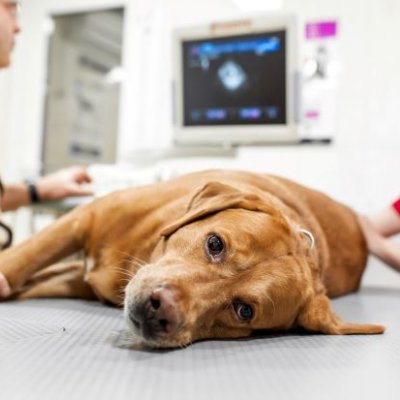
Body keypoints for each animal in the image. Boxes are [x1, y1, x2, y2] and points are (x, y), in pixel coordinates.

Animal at [0, 169, 384, 346]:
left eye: (244, 311)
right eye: (215, 244)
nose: (160, 309)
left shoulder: (78, 280)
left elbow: (28, 282)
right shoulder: (84, 217)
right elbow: (25, 258)